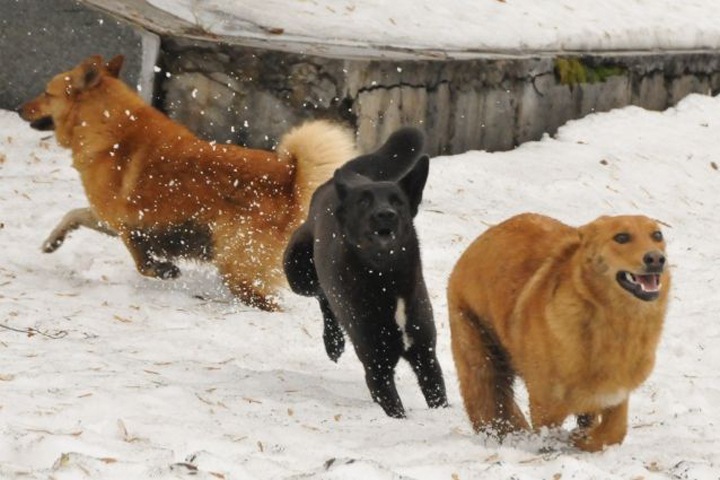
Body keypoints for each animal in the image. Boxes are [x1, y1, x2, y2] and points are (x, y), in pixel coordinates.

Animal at [21, 55, 358, 312]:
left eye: (47, 93)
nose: (22, 109)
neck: (110, 129)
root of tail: (289, 179)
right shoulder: (107, 218)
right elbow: (72, 215)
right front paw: (52, 241)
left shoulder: (125, 222)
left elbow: (140, 259)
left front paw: (163, 270)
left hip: (236, 266)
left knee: (266, 302)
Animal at [284, 126, 448, 416]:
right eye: (363, 203)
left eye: (398, 201)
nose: (386, 214)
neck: (388, 280)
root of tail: (343, 178)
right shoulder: (377, 367)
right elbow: (396, 410)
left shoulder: (426, 356)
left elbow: (438, 396)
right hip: (299, 273)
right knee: (323, 296)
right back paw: (333, 342)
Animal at [448, 213, 672, 450]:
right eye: (621, 237)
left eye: (657, 235)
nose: (656, 259)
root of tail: (477, 243)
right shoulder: (545, 405)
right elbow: (550, 436)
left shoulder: (615, 395)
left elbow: (613, 432)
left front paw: (582, 439)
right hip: (480, 360)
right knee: (488, 407)